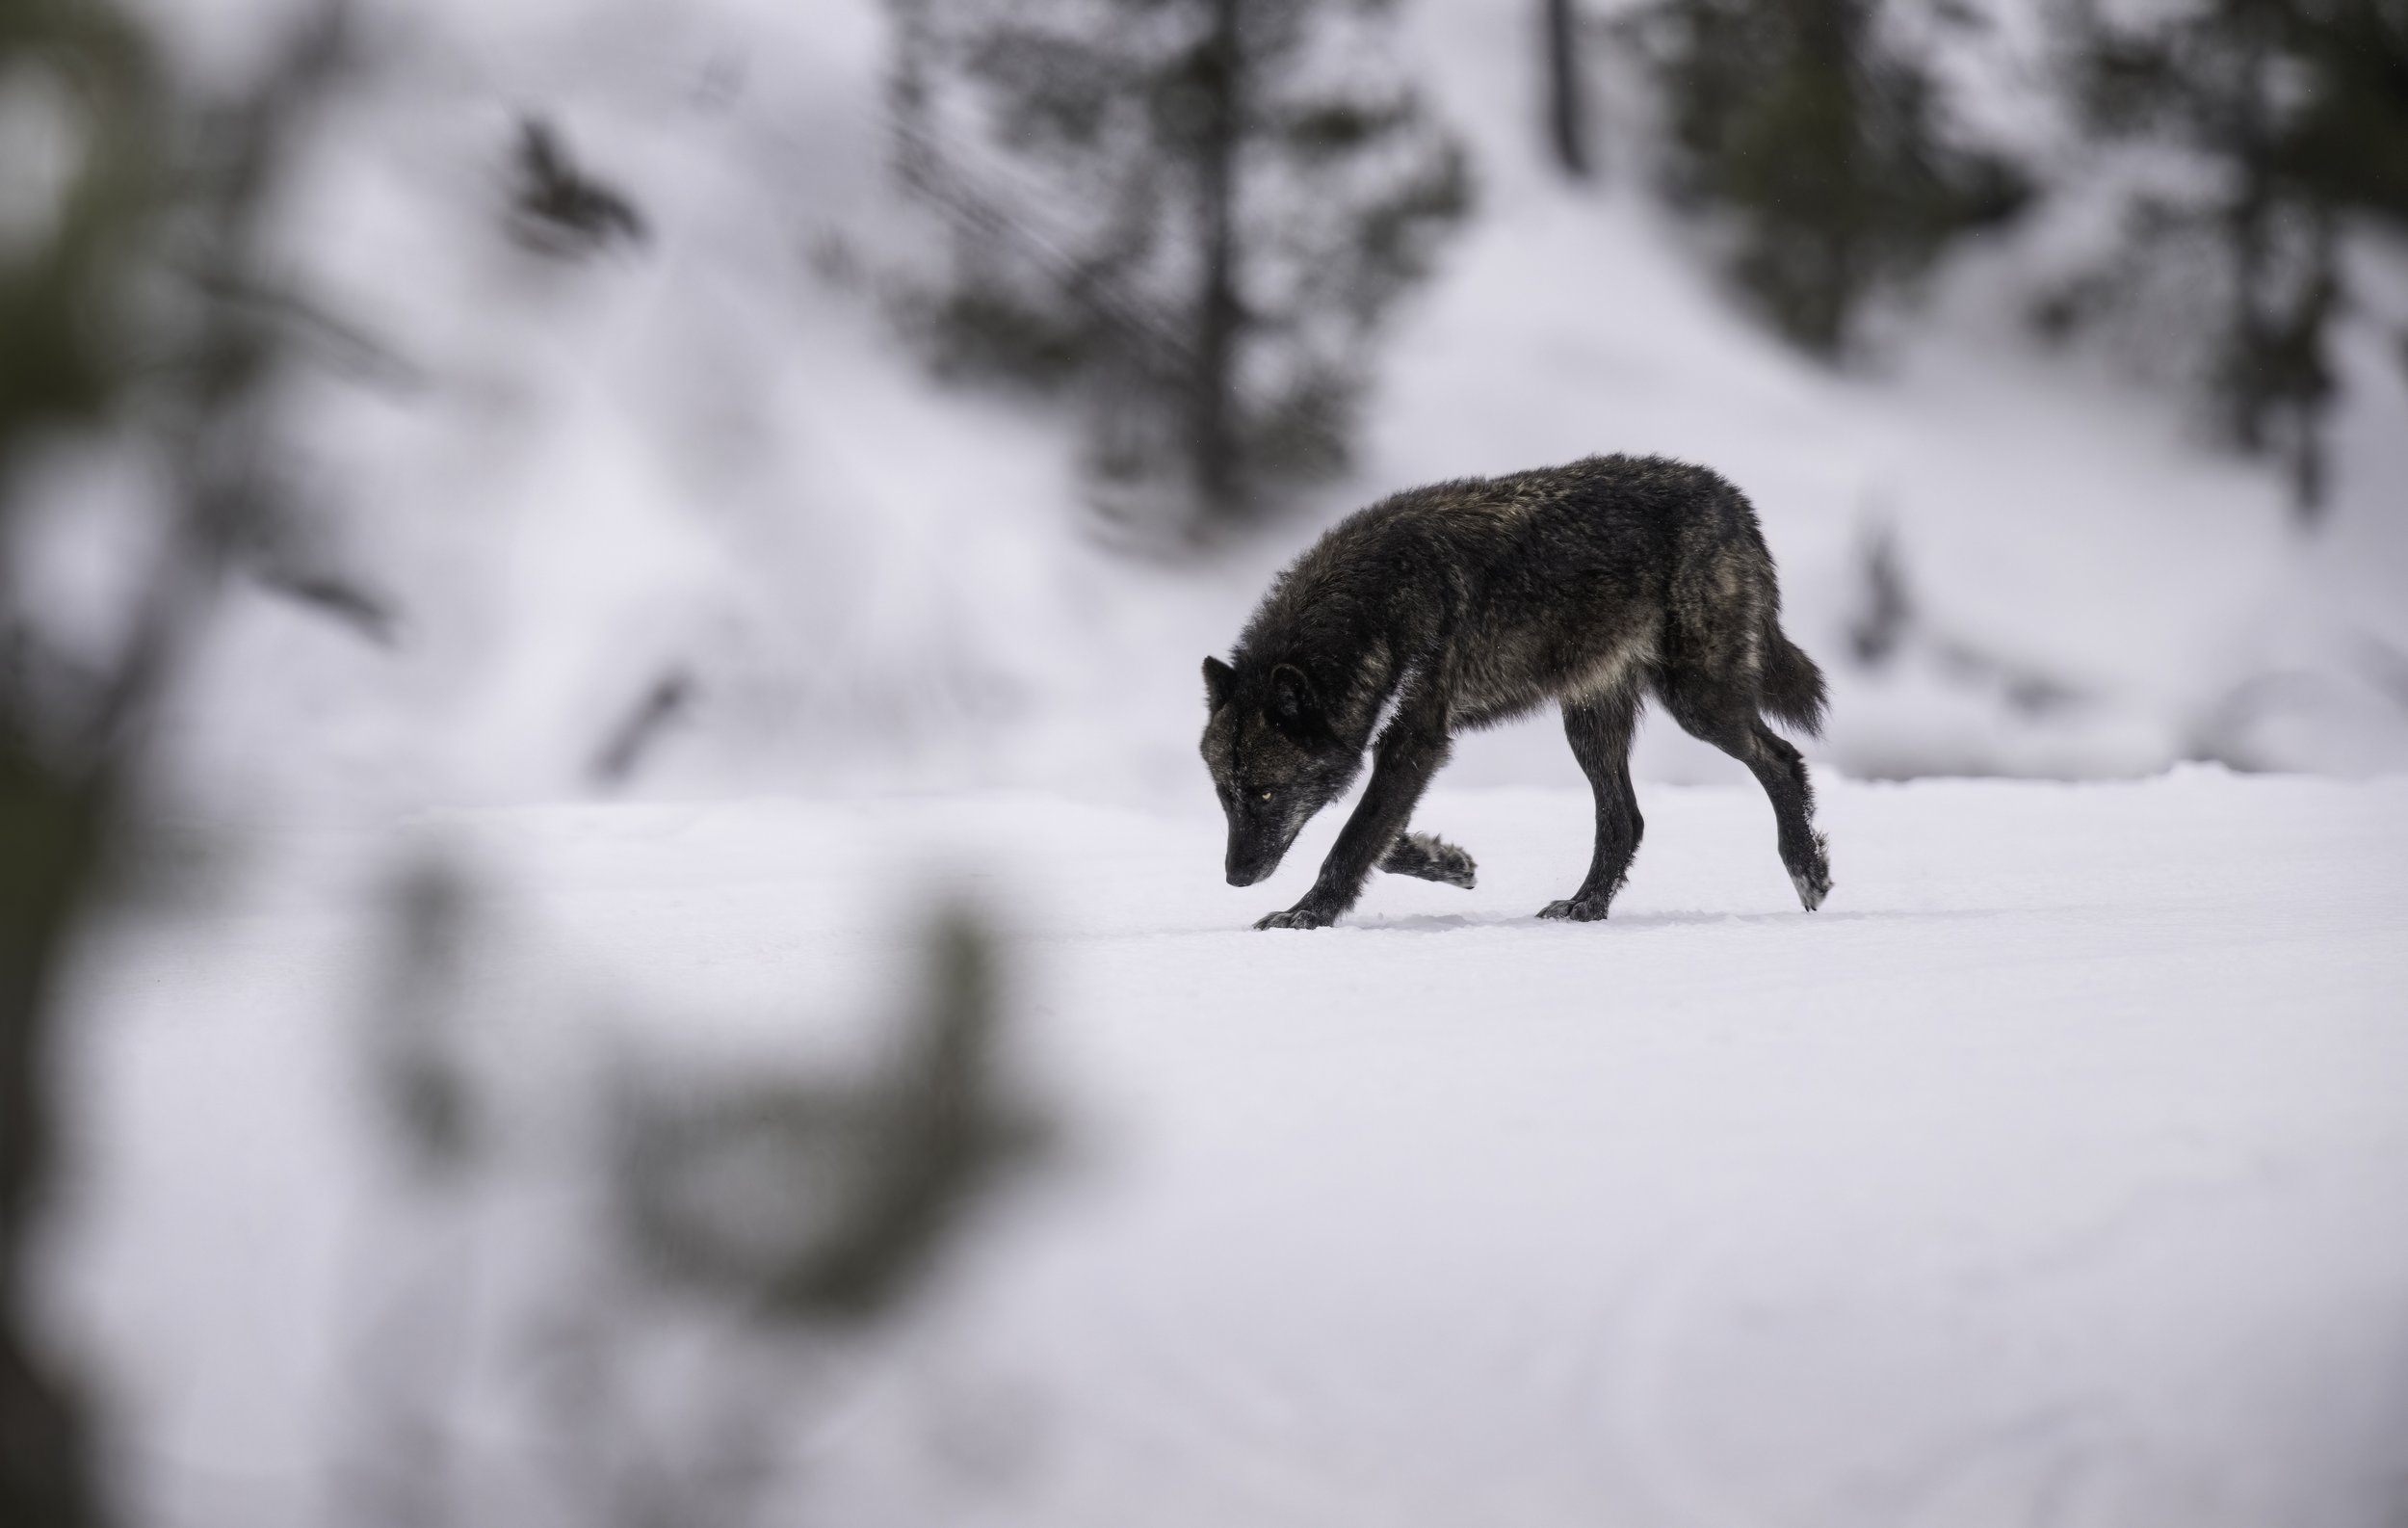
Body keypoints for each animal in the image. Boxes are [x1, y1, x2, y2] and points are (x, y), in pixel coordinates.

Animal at [1199, 453, 1830, 929]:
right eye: (1224, 795)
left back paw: (1808, 872)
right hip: (1589, 726)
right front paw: (1446, 861)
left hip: (1698, 702)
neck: (1375, 605)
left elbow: (1351, 841)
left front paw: (1304, 916)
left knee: (1780, 759)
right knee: (1625, 820)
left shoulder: (1416, 741)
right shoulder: (1400, 747)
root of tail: (1728, 496)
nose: (1235, 877)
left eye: (1264, 793)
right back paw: (1584, 906)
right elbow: (1376, 830)